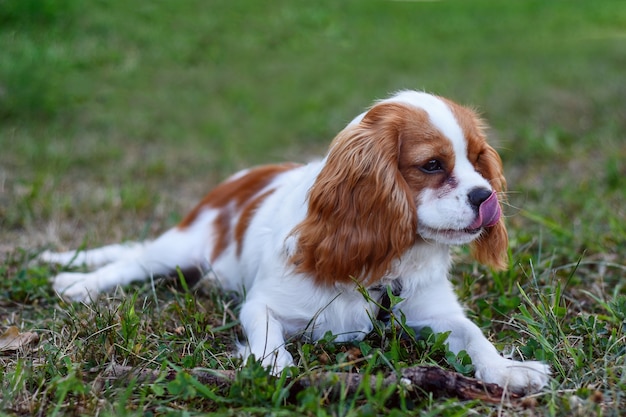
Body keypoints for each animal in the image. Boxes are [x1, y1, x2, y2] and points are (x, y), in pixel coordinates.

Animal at [41, 91, 544, 394]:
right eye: (433, 165)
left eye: (478, 160)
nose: (485, 196)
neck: (382, 265)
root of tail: (239, 179)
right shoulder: (262, 303)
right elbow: (266, 335)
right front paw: (273, 370)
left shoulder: (437, 315)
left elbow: (474, 334)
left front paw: (506, 369)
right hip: (182, 246)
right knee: (134, 261)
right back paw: (78, 283)